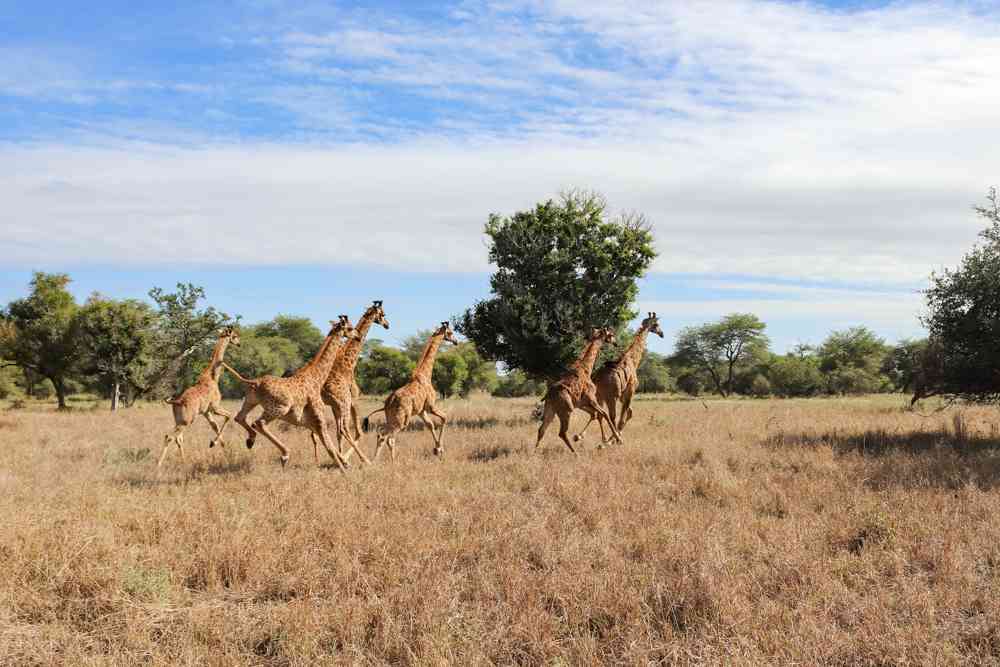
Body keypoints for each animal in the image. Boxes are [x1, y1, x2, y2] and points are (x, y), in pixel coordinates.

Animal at [158, 326, 241, 467]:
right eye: (234, 336)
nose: (239, 344)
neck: (213, 376)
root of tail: (177, 402)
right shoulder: (215, 407)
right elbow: (229, 416)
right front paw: (214, 443)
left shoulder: (206, 412)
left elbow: (215, 426)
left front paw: (218, 445)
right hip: (187, 421)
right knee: (170, 437)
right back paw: (158, 465)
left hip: (179, 420)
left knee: (178, 438)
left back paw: (184, 461)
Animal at [223, 316, 364, 471]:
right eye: (350, 328)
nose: (358, 336)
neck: (317, 377)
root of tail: (255, 382)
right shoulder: (319, 416)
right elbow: (329, 446)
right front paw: (345, 466)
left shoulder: (310, 421)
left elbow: (329, 444)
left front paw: (346, 463)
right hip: (279, 408)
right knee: (259, 423)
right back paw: (284, 454)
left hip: (250, 401)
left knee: (240, 417)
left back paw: (250, 440)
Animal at [312, 300, 389, 465]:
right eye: (383, 314)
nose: (387, 324)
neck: (349, 362)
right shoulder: (353, 399)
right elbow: (358, 432)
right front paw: (351, 458)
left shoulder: (335, 406)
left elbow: (338, 433)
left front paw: (341, 456)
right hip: (344, 403)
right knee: (345, 429)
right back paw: (355, 460)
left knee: (319, 431)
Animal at [361, 321, 458, 462]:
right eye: (450, 333)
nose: (456, 341)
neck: (425, 374)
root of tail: (388, 403)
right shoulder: (431, 406)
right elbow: (444, 418)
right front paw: (440, 450)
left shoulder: (421, 411)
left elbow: (430, 425)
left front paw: (437, 449)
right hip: (402, 420)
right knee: (388, 438)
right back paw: (392, 461)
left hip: (392, 418)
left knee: (381, 433)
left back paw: (374, 460)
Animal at [577, 312, 664, 443]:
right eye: (657, 324)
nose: (662, 334)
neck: (633, 360)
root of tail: (596, 378)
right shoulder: (630, 391)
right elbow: (622, 418)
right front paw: (615, 439)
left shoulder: (622, 396)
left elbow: (629, 413)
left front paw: (615, 437)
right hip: (609, 397)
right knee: (610, 415)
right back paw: (609, 440)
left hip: (599, 397)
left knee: (599, 414)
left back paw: (589, 437)